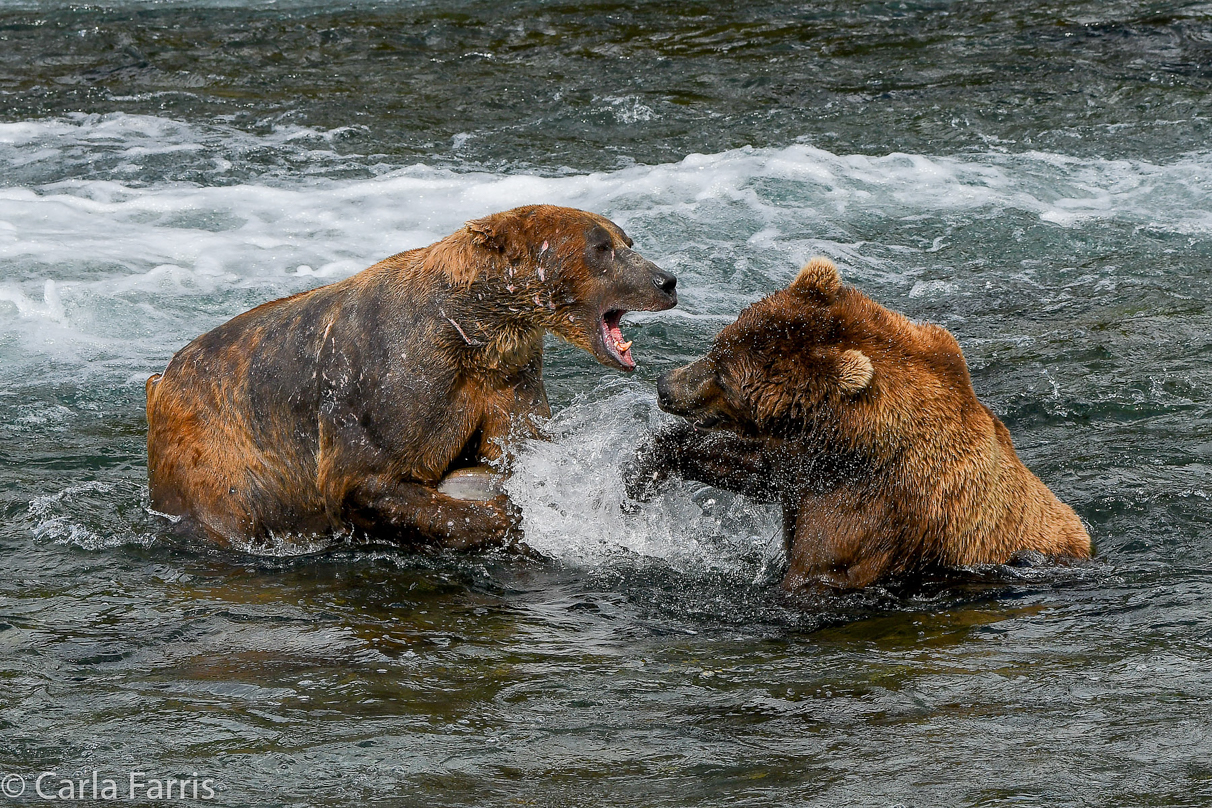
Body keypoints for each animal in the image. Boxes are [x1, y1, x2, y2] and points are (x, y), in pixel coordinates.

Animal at [146, 205, 678, 552]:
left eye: (627, 242)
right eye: (601, 248)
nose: (667, 280)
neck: (476, 327)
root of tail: (161, 380)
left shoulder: (507, 377)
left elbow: (516, 445)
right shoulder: (388, 384)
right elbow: (366, 479)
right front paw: (505, 517)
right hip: (219, 454)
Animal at [630, 259, 1095, 593]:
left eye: (724, 377)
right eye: (717, 345)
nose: (665, 386)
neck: (850, 435)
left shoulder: (867, 507)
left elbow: (814, 569)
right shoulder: (808, 465)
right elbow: (751, 465)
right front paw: (641, 475)